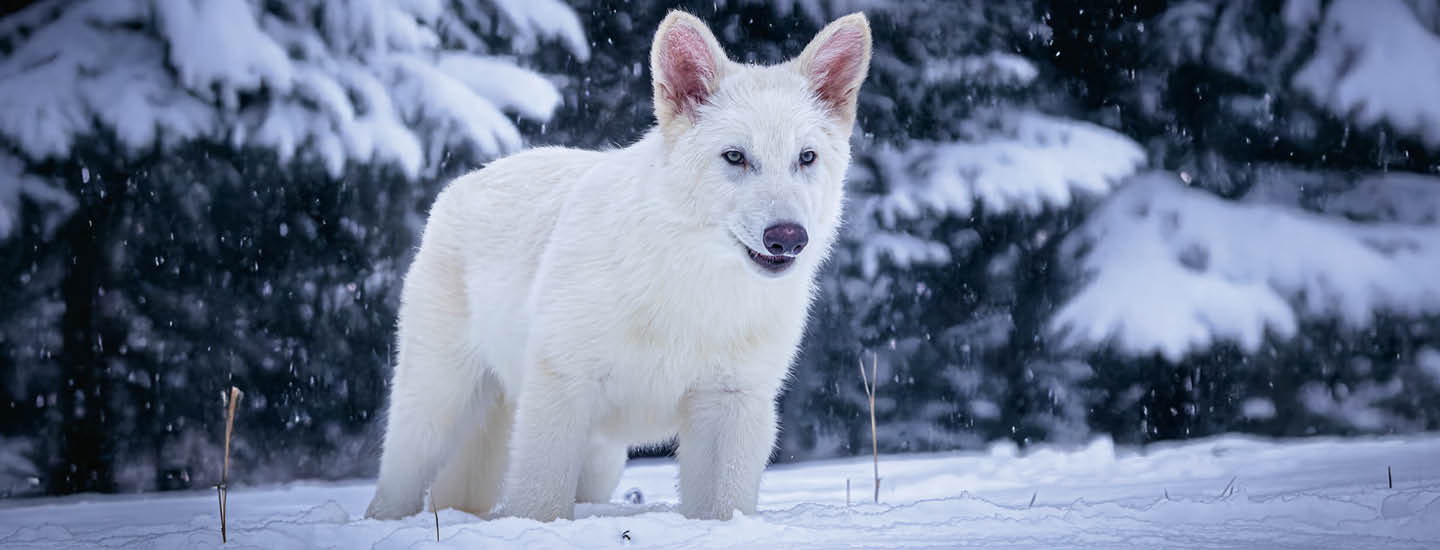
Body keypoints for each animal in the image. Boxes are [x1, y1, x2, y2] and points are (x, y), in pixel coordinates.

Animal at [365, 10, 872, 522]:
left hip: (596, 458)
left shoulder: (732, 403)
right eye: (735, 157)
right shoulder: (562, 386)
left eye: (805, 158)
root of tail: (463, 182)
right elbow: (541, 502)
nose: (787, 238)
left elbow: (721, 509)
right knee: (395, 487)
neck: (695, 288)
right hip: (435, 407)